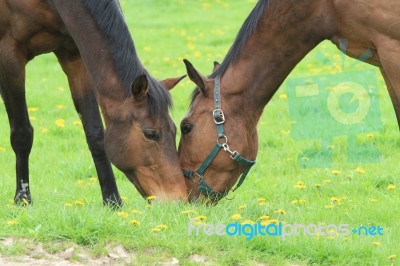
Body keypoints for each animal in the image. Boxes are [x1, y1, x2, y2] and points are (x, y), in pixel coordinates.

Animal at [0, 0, 188, 206]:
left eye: (175, 130)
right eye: (151, 134)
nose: (179, 199)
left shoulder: (74, 56)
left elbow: (95, 135)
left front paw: (112, 200)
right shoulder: (9, 56)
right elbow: (22, 134)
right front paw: (23, 199)